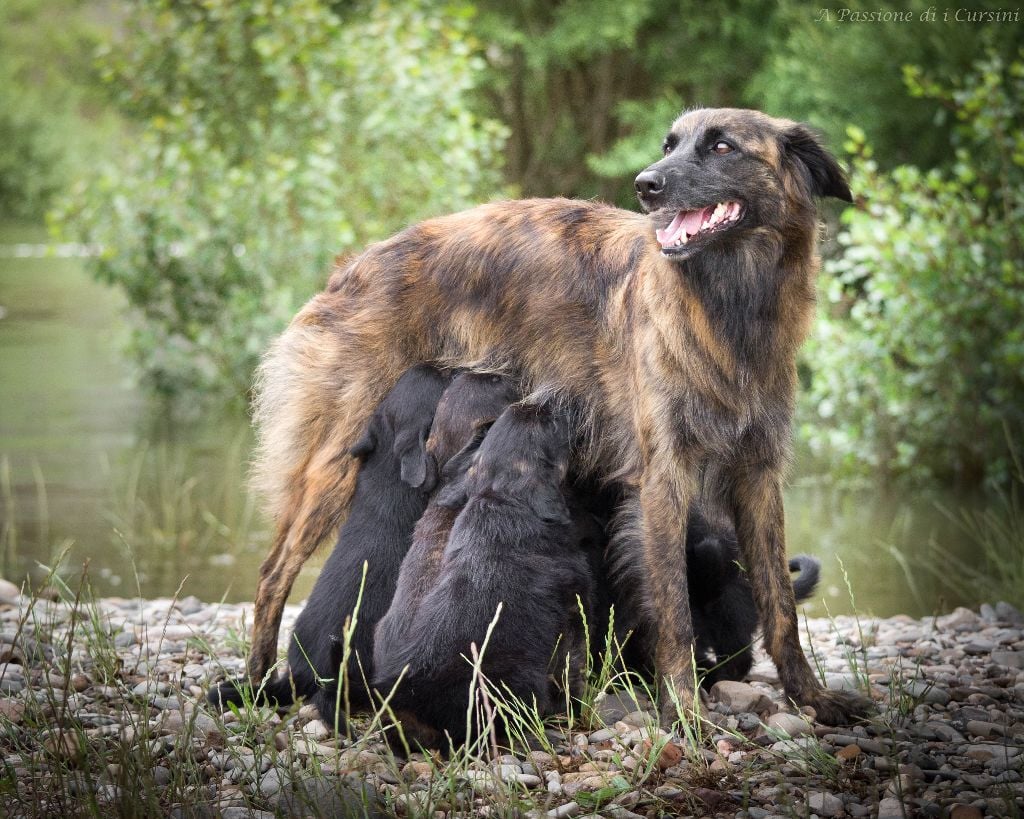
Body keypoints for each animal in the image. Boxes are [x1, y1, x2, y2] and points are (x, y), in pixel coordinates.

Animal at [372, 401, 593, 749]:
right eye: (552, 424)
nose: (548, 403)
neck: (502, 497)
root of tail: (412, 704)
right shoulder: (573, 612)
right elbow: (572, 669)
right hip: (516, 679)